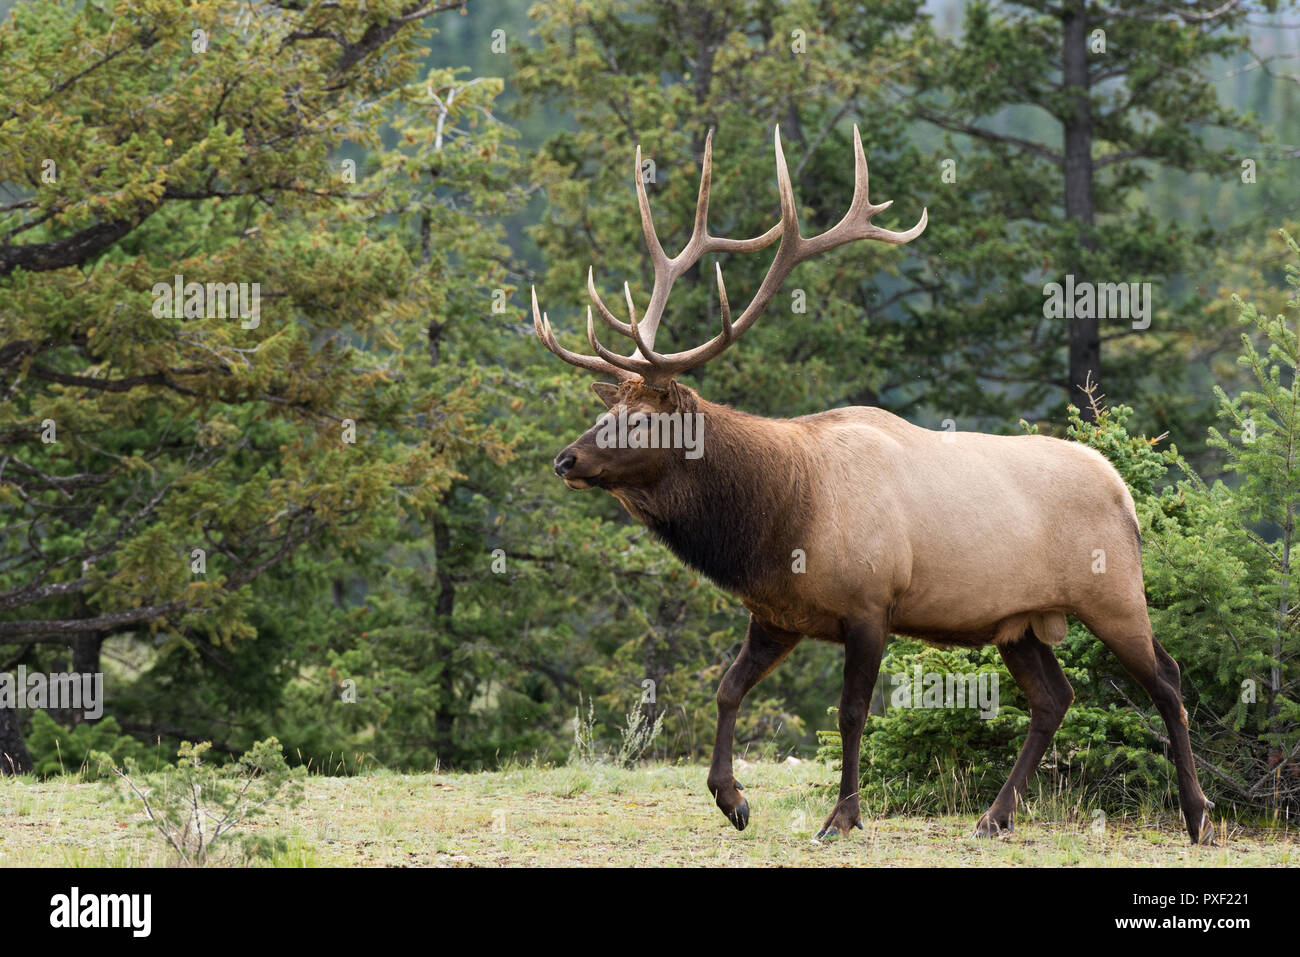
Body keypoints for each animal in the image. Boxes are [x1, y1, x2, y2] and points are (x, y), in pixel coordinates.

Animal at [525, 127, 1206, 842]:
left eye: (640, 419)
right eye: (609, 410)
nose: (566, 460)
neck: (779, 522)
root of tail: (1125, 491)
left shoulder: (870, 604)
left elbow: (851, 713)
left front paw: (842, 815)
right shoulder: (775, 614)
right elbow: (728, 688)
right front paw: (732, 799)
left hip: (1114, 593)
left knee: (1167, 680)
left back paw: (1196, 814)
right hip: (1018, 622)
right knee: (1055, 697)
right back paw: (994, 817)